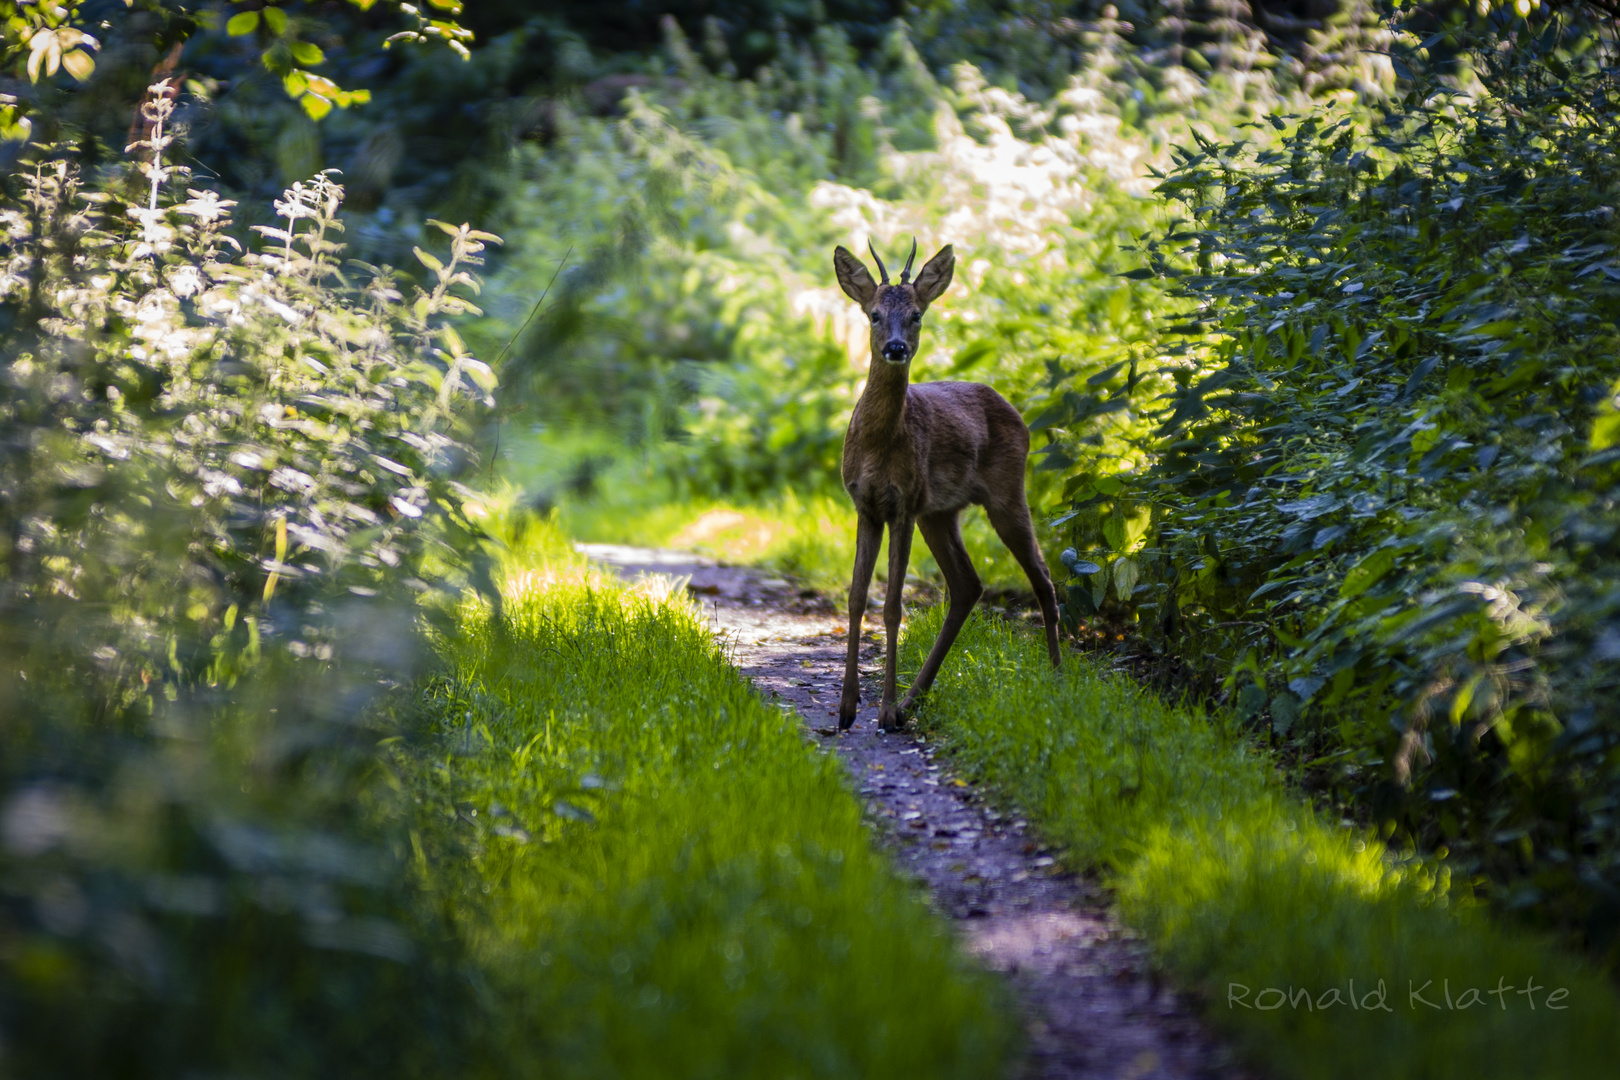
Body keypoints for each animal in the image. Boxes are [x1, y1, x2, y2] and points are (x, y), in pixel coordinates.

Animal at [835, 242, 1062, 735]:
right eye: (874, 314)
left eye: (917, 314)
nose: (896, 348)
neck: (879, 444)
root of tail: (1017, 412)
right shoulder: (865, 504)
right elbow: (857, 597)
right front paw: (846, 708)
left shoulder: (902, 503)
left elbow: (893, 606)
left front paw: (881, 710)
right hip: (939, 513)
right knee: (967, 585)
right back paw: (912, 700)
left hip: (1006, 493)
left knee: (1043, 577)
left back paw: (1059, 678)